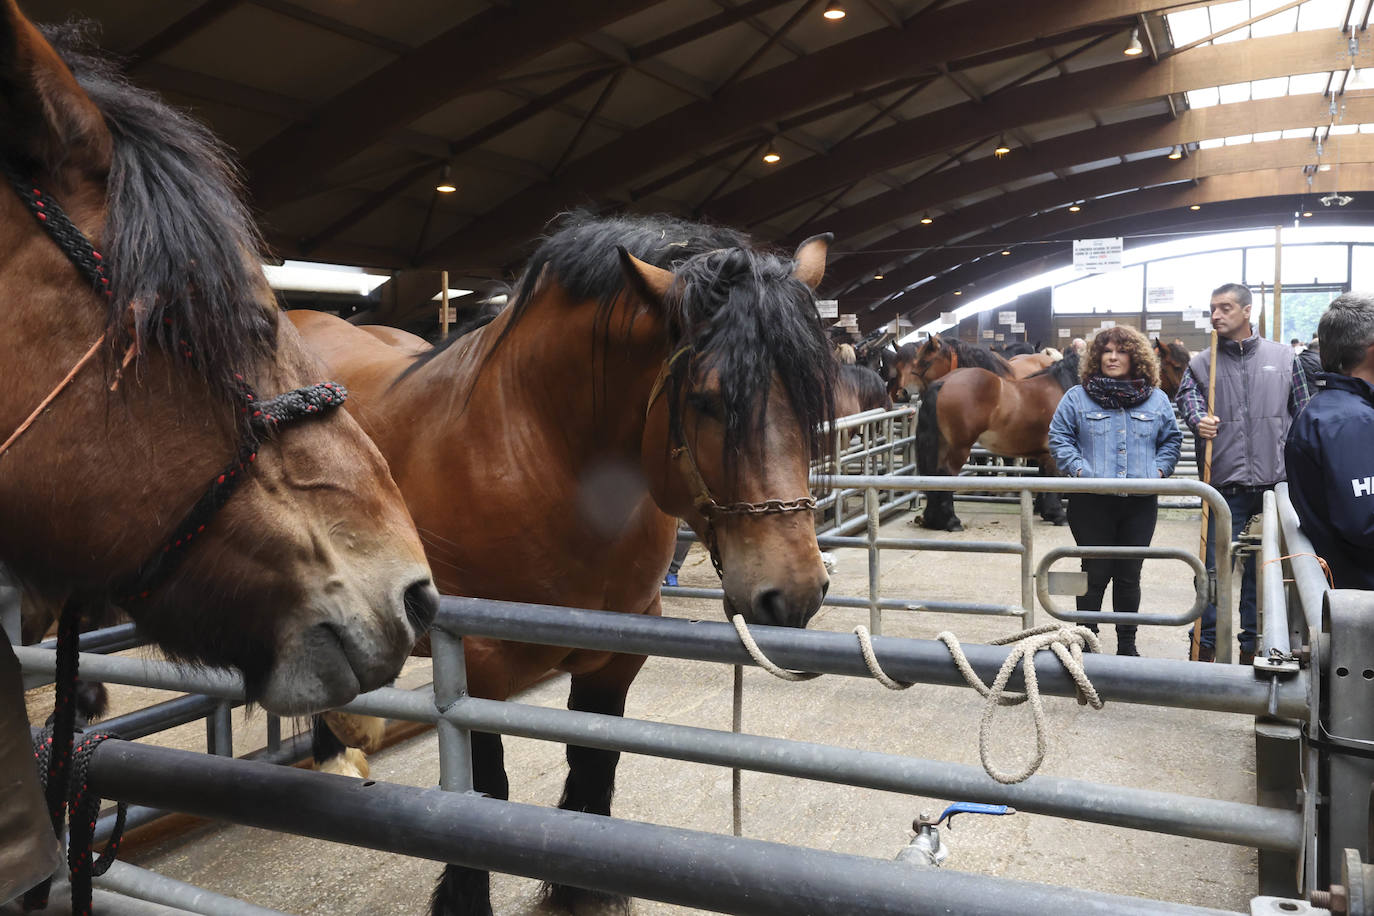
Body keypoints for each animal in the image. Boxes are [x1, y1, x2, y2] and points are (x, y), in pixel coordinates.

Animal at [288, 211, 837, 916]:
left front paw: (580, 892)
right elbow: (485, 793)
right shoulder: (476, 664)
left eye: (811, 396)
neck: (534, 452)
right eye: (707, 400)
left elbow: (593, 765)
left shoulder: (617, 652)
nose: (794, 592)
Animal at [915, 352, 1081, 531]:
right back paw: (952, 521)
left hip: (943, 445)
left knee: (934, 476)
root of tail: (944, 382)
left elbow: (1044, 479)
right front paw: (1057, 515)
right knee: (946, 475)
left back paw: (934, 520)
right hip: (959, 448)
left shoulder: (1044, 454)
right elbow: (1054, 479)